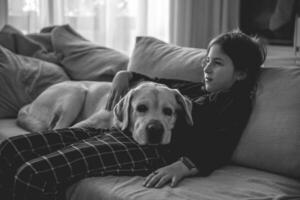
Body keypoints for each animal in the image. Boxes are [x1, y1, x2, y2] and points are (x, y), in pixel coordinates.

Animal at [17, 80, 193, 145]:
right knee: (56, 127)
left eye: (168, 111)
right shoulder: (80, 124)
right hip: (76, 92)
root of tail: (29, 105)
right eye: (141, 108)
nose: (155, 129)